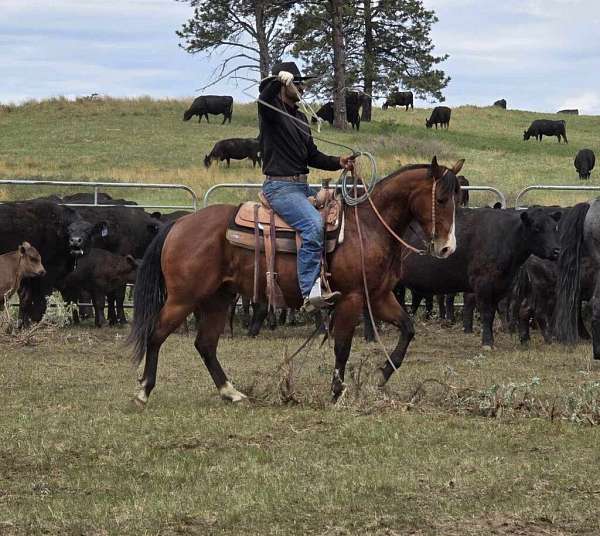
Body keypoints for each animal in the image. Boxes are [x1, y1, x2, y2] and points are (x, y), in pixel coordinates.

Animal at [129, 156, 462, 406]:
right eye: (441, 198)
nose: (447, 249)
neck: (367, 228)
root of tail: (179, 224)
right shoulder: (352, 298)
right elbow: (342, 346)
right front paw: (337, 392)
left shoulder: (378, 296)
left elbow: (408, 328)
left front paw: (382, 373)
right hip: (183, 297)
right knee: (156, 334)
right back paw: (143, 391)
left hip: (217, 298)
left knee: (205, 344)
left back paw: (231, 392)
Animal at [398, 205, 564, 348]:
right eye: (537, 228)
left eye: (555, 228)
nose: (556, 250)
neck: (505, 236)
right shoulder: (483, 284)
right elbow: (487, 312)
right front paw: (487, 342)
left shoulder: (499, 285)